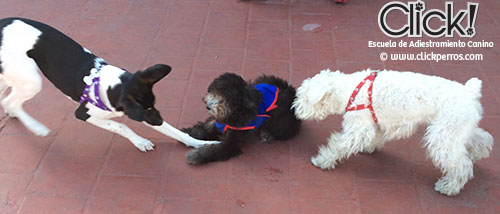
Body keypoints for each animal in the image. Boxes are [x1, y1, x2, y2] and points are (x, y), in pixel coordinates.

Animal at [0, 17, 219, 151]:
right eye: (147, 109)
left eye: (153, 106)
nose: (157, 120)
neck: (109, 85)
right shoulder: (84, 113)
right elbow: (121, 126)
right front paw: (140, 141)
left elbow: (175, 132)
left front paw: (200, 143)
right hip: (32, 80)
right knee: (10, 101)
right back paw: (37, 128)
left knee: (6, 97)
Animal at [292, 68, 492, 196]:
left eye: (304, 97)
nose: (295, 110)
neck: (350, 91)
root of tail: (470, 91)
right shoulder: (374, 123)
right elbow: (374, 137)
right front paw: (369, 148)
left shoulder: (357, 129)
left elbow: (338, 144)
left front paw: (322, 160)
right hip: (455, 130)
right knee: (481, 139)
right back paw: (476, 154)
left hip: (443, 137)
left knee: (462, 166)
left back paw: (448, 187)